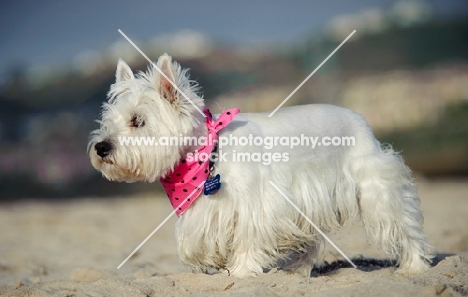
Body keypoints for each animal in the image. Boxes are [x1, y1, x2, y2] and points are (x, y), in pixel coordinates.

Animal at [89, 53, 434, 278]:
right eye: (108, 121)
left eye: (138, 121)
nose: (101, 148)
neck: (209, 152)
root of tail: (362, 121)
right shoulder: (206, 210)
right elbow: (192, 245)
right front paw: (212, 261)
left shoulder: (256, 203)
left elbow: (248, 237)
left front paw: (240, 272)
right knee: (310, 239)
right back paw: (295, 270)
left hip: (376, 188)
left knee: (403, 224)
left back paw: (414, 267)